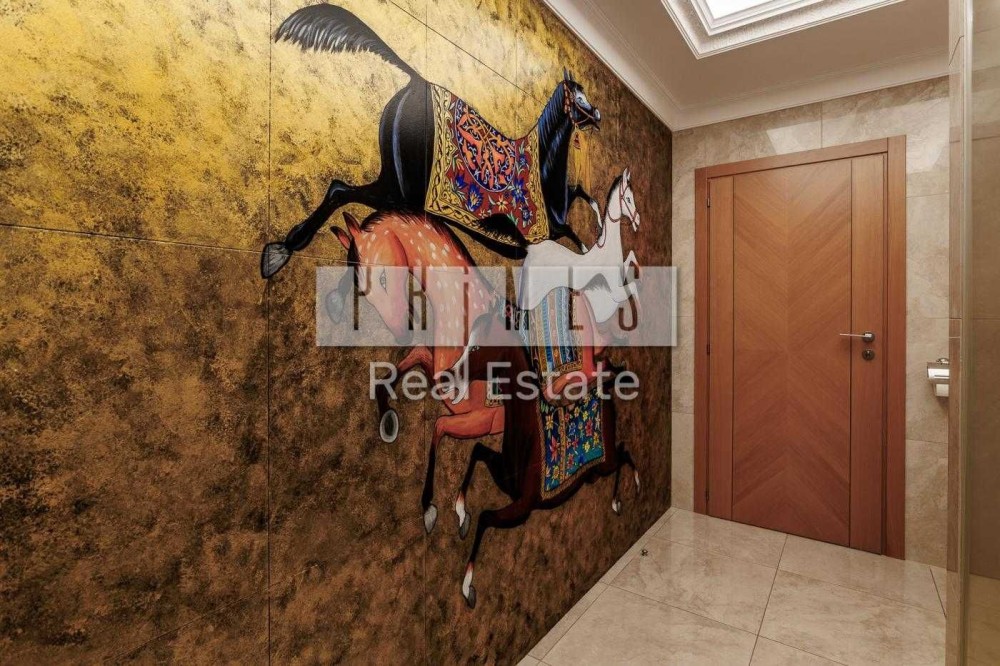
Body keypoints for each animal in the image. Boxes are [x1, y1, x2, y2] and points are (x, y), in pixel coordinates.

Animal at [261, 3, 602, 279]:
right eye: (578, 95)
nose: (597, 115)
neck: (543, 171)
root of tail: (416, 78)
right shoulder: (539, 233)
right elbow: (576, 237)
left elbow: (582, 198)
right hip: (400, 192)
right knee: (340, 190)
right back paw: (280, 252)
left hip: (394, 184)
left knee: (337, 189)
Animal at [444, 310, 640, 608]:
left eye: (476, 347)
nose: (448, 376)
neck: (528, 433)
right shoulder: (505, 479)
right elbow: (476, 451)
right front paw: (461, 513)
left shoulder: (524, 506)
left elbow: (485, 518)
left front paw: (467, 587)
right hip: (598, 470)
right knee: (621, 452)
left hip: (606, 463)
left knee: (626, 452)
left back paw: (626, 495)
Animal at [518, 168, 641, 324]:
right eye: (628, 198)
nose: (638, 220)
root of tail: (531, 249)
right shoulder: (615, 293)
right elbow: (634, 287)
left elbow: (631, 256)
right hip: (531, 299)